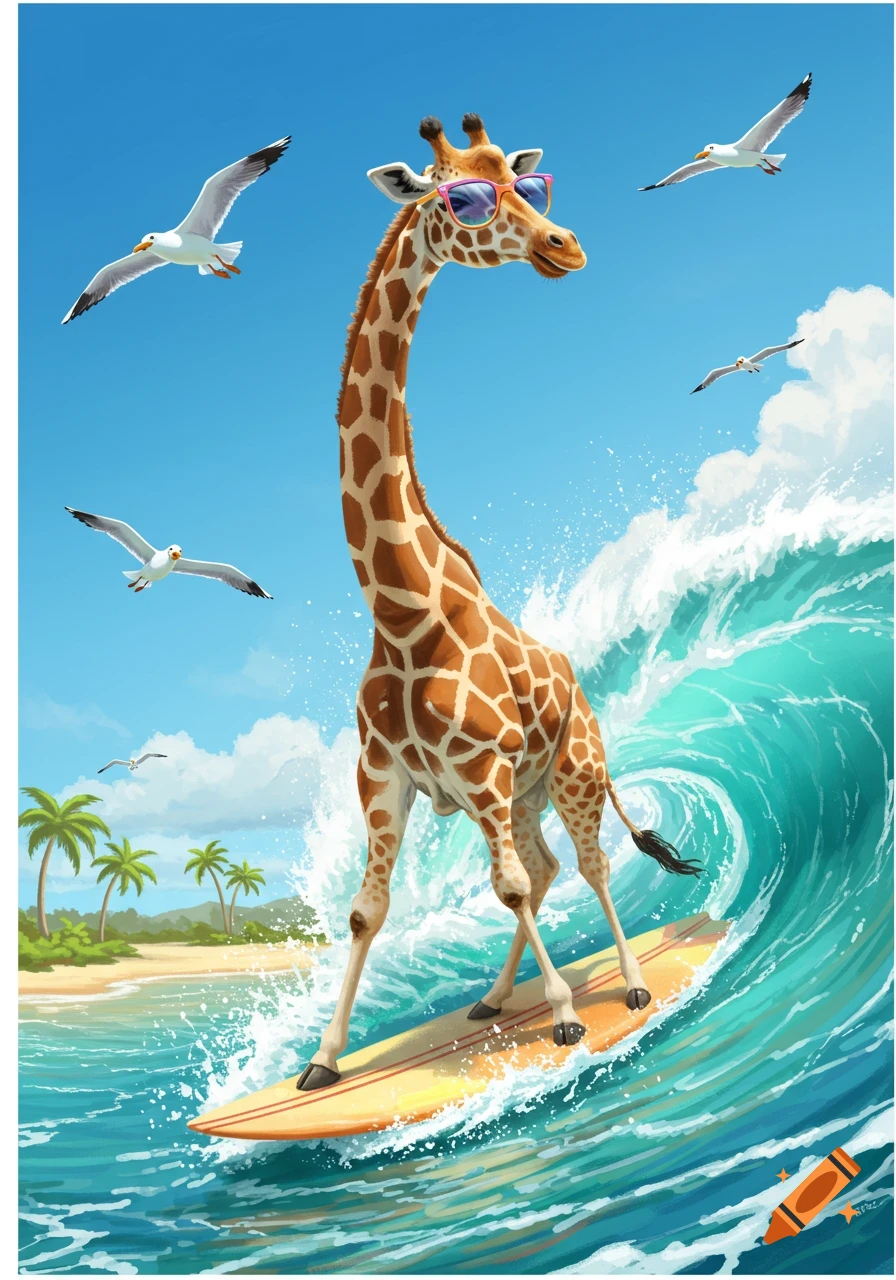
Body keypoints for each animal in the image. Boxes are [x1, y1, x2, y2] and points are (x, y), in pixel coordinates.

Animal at [297, 114, 701, 1092]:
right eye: (466, 198)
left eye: (530, 185)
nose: (567, 245)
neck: (404, 613)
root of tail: (583, 691)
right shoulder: (385, 777)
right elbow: (369, 910)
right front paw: (323, 1061)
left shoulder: (477, 770)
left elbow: (507, 886)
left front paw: (565, 1015)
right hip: (526, 791)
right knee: (550, 867)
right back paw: (490, 999)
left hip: (575, 769)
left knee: (585, 863)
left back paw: (625, 984)